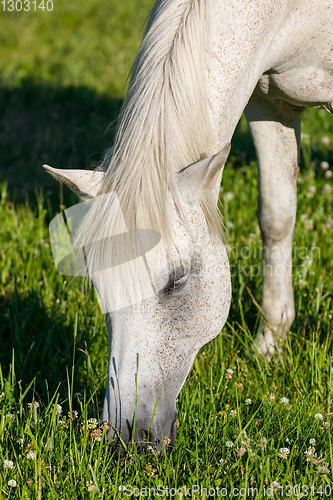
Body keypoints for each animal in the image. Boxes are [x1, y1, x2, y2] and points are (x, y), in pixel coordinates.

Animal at [44, 0, 332, 446]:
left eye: (177, 281)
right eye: (98, 285)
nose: (127, 436)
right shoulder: (271, 104)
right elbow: (277, 216)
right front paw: (271, 345)